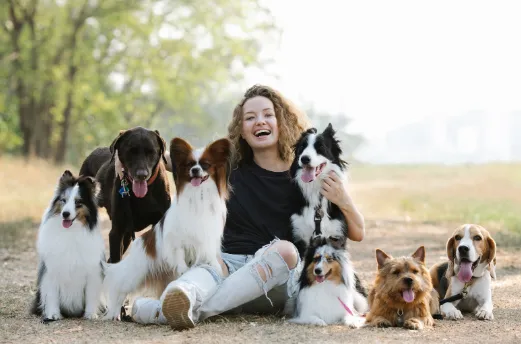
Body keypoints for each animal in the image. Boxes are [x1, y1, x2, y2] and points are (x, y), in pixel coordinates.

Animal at [30, 171, 105, 322]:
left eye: (78, 202)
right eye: (63, 200)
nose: (65, 214)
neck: (71, 231)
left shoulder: (92, 271)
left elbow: (91, 294)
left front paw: (90, 314)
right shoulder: (51, 270)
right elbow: (52, 294)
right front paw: (53, 314)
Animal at [101, 136, 230, 320]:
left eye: (205, 164)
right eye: (190, 164)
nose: (195, 170)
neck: (198, 195)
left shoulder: (207, 237)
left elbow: (209, 256)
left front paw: (214, 267)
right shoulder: (177, 241)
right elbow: (181, 258)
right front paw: (184, 269)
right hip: (134, 273)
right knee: (119, 288)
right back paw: (114, 313)